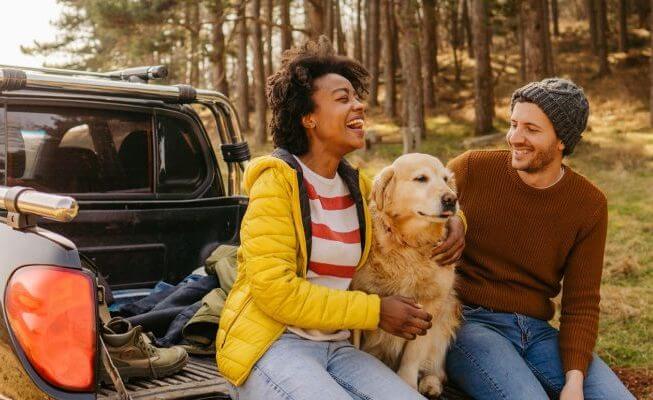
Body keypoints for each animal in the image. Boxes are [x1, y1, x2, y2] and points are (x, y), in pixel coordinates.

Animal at [348, 153, 460, 396]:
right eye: (421, 179)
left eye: (446, 179)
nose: (452, 199)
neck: (409, 244)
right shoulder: (360, 292)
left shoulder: (431, 304)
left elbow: (414, 353)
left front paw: (407, 382)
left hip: (447, 314)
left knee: (439, 370)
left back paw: (430, 382)